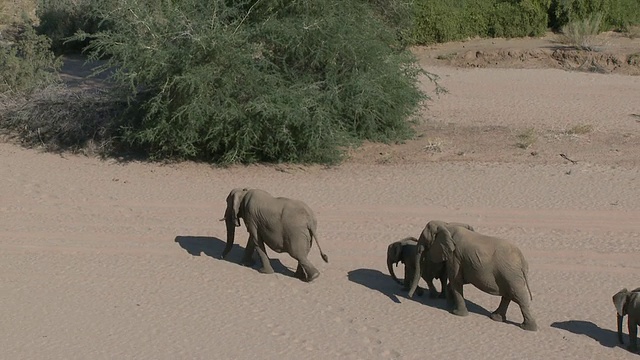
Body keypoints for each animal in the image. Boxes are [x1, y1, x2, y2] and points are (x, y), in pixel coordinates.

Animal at [408, 219, 536, 332]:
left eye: (424, 238)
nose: (410, 296)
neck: (447, 225)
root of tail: (522, 260)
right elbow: (456, 281)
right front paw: (450, 307)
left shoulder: (455, 256)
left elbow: (455, 281)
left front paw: (457, 313)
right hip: (510, 274)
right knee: (508, 295)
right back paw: (496, 318)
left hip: (510, 274)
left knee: (519, 297)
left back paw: (528, 328)